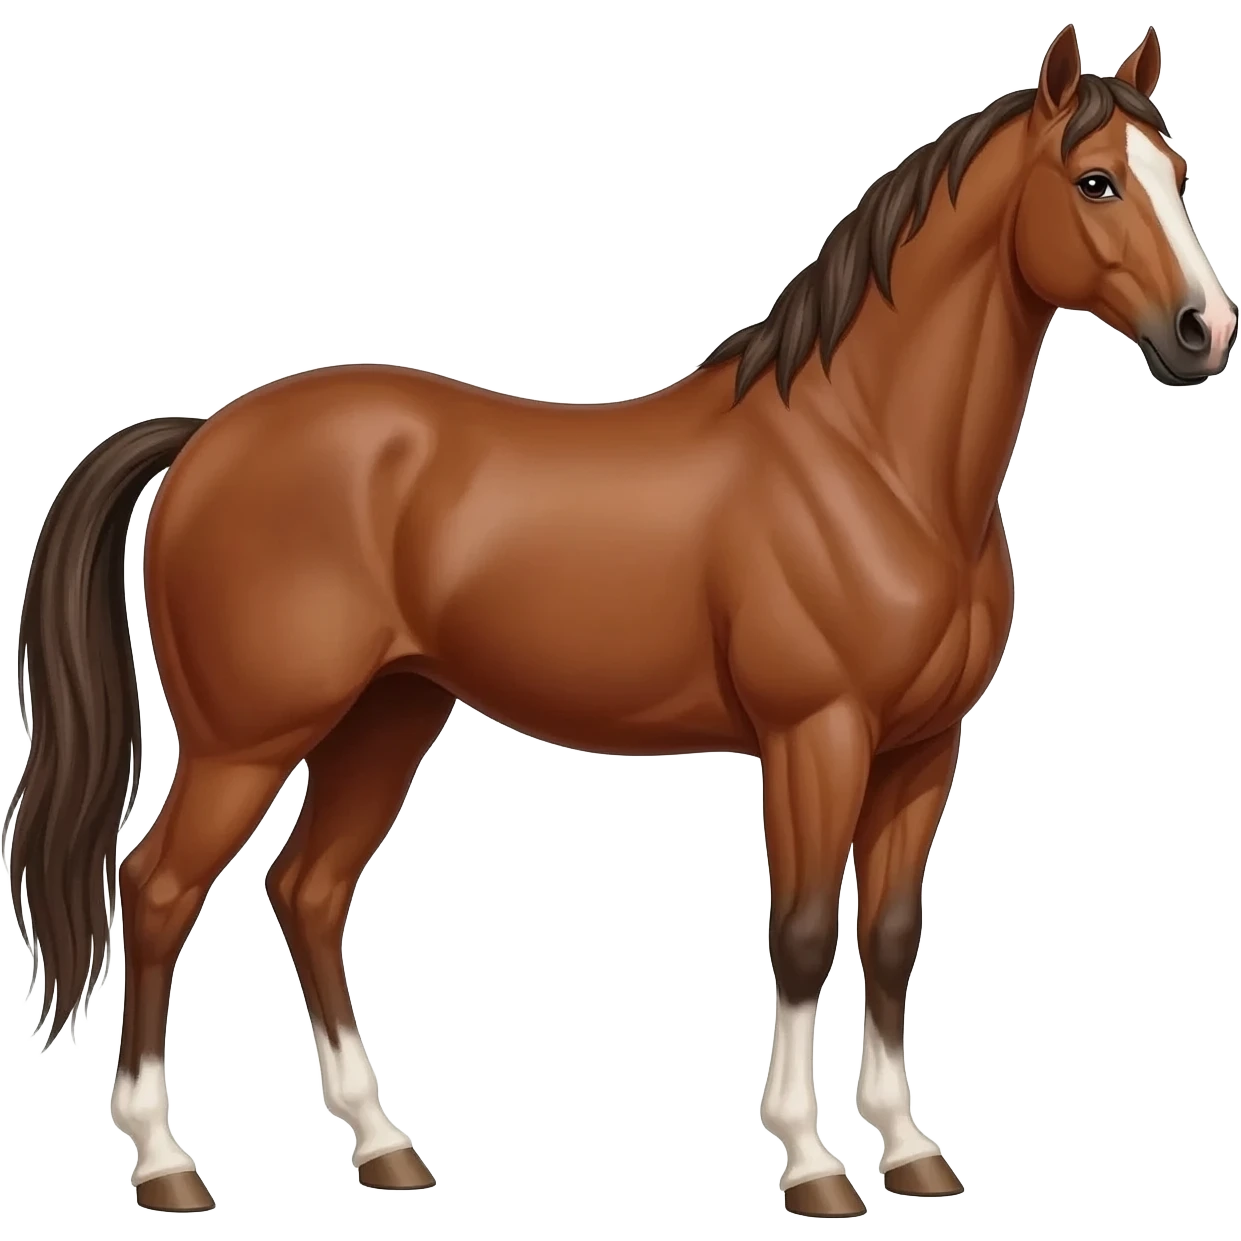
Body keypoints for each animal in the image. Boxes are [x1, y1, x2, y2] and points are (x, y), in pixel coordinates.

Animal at [4, 21, 1235, 1218]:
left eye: (1175, 172)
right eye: (1093, 181)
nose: (1203, 332)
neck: (872, 461)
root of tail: (206, 435)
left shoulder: (923, 749)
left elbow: (889, 938)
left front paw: (910, 1149)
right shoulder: (815, 737)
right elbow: (799, 933)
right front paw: (813, 1165)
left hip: (388, 717)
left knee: (306, 891)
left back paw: (385, 1144)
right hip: (248, 740)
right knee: (156, 892)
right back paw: (165, 1162)